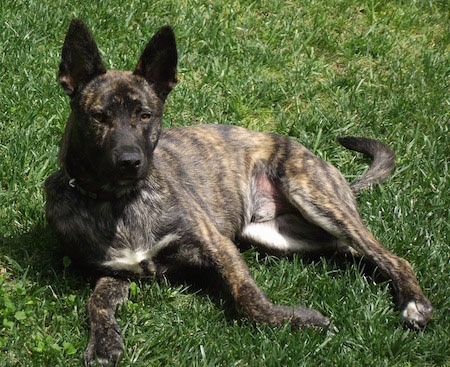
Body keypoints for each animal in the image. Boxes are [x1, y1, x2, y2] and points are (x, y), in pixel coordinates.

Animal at [44, 20, 432, 367]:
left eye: (145, 115)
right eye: (99, 116)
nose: (130, 161)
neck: (120, 201)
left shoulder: (219, 246)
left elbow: (249, 298)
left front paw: (297, 320)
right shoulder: (119, 273)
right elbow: (96, 301)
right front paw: (103, 342)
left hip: (313, 196)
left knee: (391, 256)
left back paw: (414, 304)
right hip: (279, 235)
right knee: (354, 251)